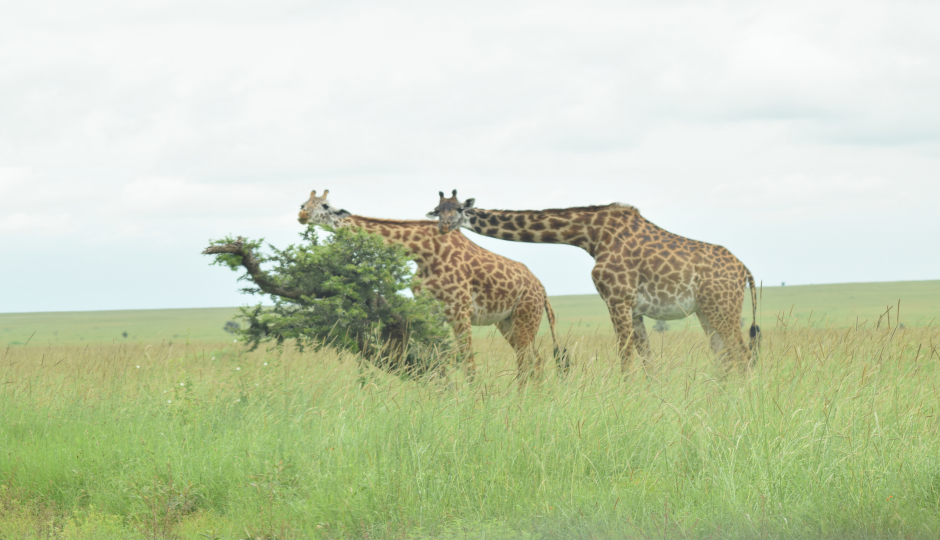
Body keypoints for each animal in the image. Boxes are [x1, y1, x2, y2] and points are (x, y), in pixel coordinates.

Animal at [302, 192, 564, 382]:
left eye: (324, 205)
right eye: (304, 201)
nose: (302, 214)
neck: (423, 253)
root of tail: (542, 290)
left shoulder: (460, 311)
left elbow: (468, 361)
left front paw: (475, 402)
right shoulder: (432, 312)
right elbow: (439, 357)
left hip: (525, 317)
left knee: (526, 360)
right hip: (507, 321)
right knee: (534, 359)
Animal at [430, 190, 760, 372]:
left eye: (460, 209)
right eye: (436, 211)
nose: (445, 226)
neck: (592, 235)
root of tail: (745, 270)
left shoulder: (617, 298)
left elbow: (625, 354)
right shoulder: (633, 307)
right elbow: (646, 359)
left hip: (722, 308)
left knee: (741, 354)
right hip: (707, 311)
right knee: (724, 355)